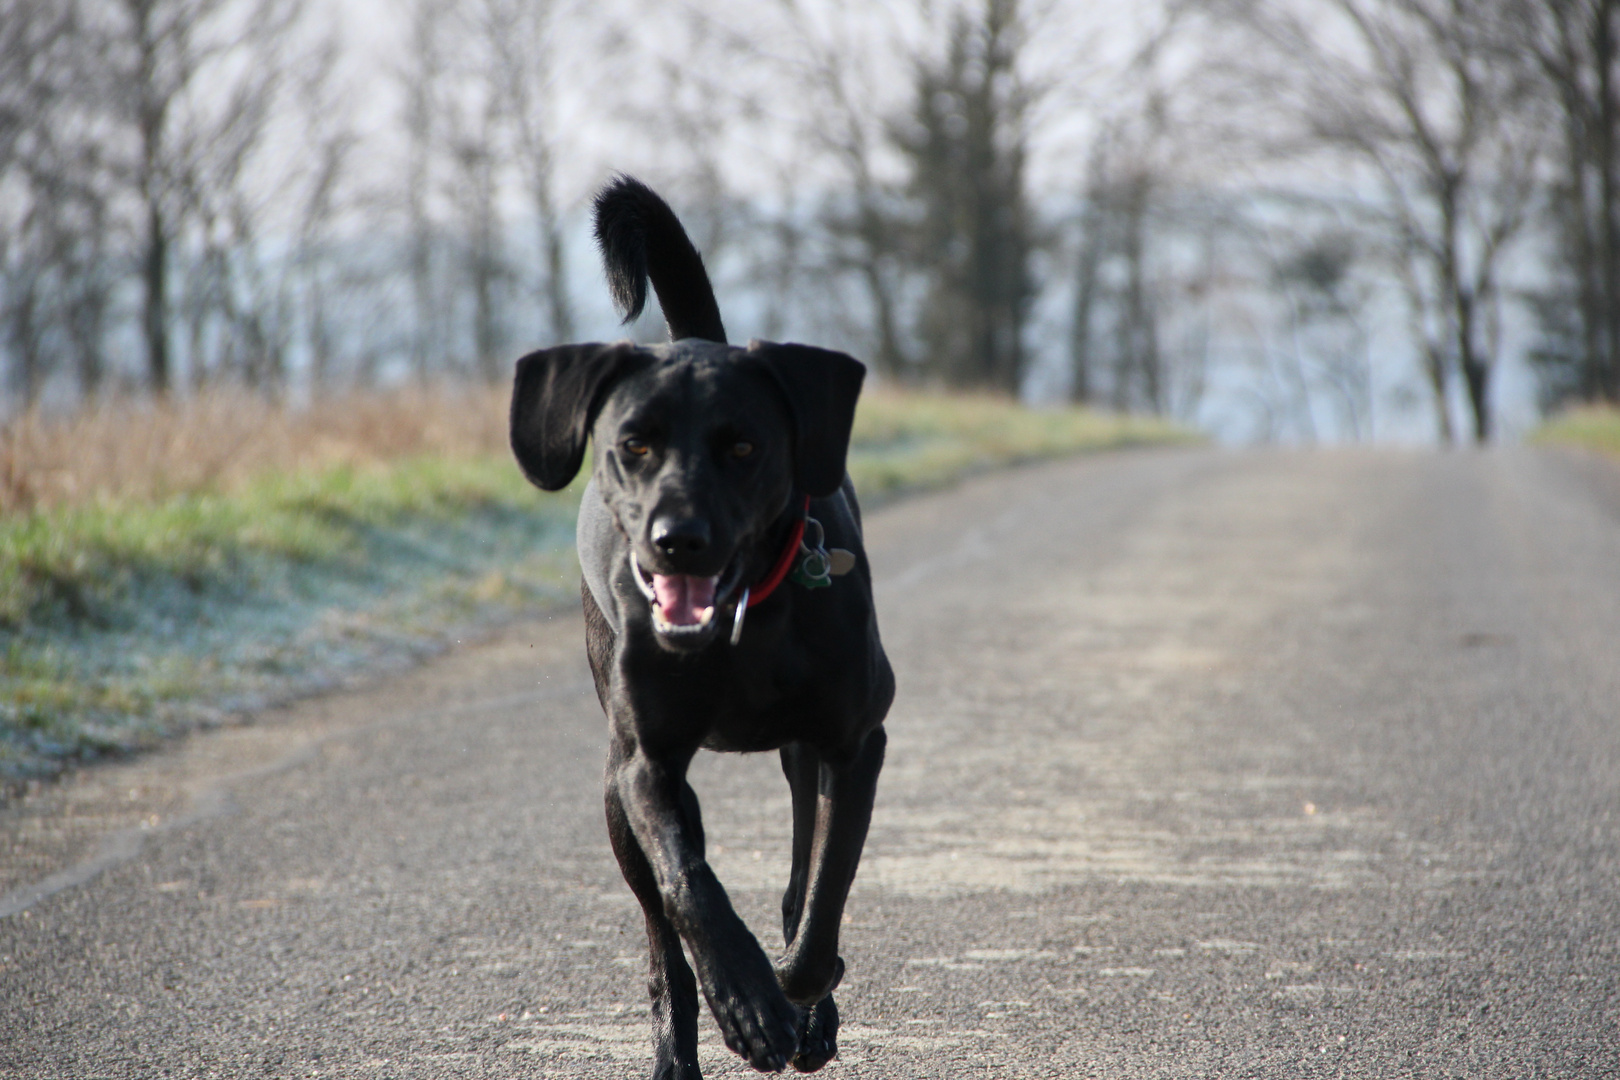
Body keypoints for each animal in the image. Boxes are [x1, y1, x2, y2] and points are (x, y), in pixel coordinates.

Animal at [505, 173, 894, 1075]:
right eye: (634, 445)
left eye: (744, 447)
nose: (676, 538)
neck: (741, 629)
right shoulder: (646, 768)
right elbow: (691, 886)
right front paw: (747, 1002)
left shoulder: (853, 744)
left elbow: (822, 893)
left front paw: (800, 994)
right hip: (617, 791)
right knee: (662, 938)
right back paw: (679, 1048)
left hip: (797, 754)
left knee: (799, 871)